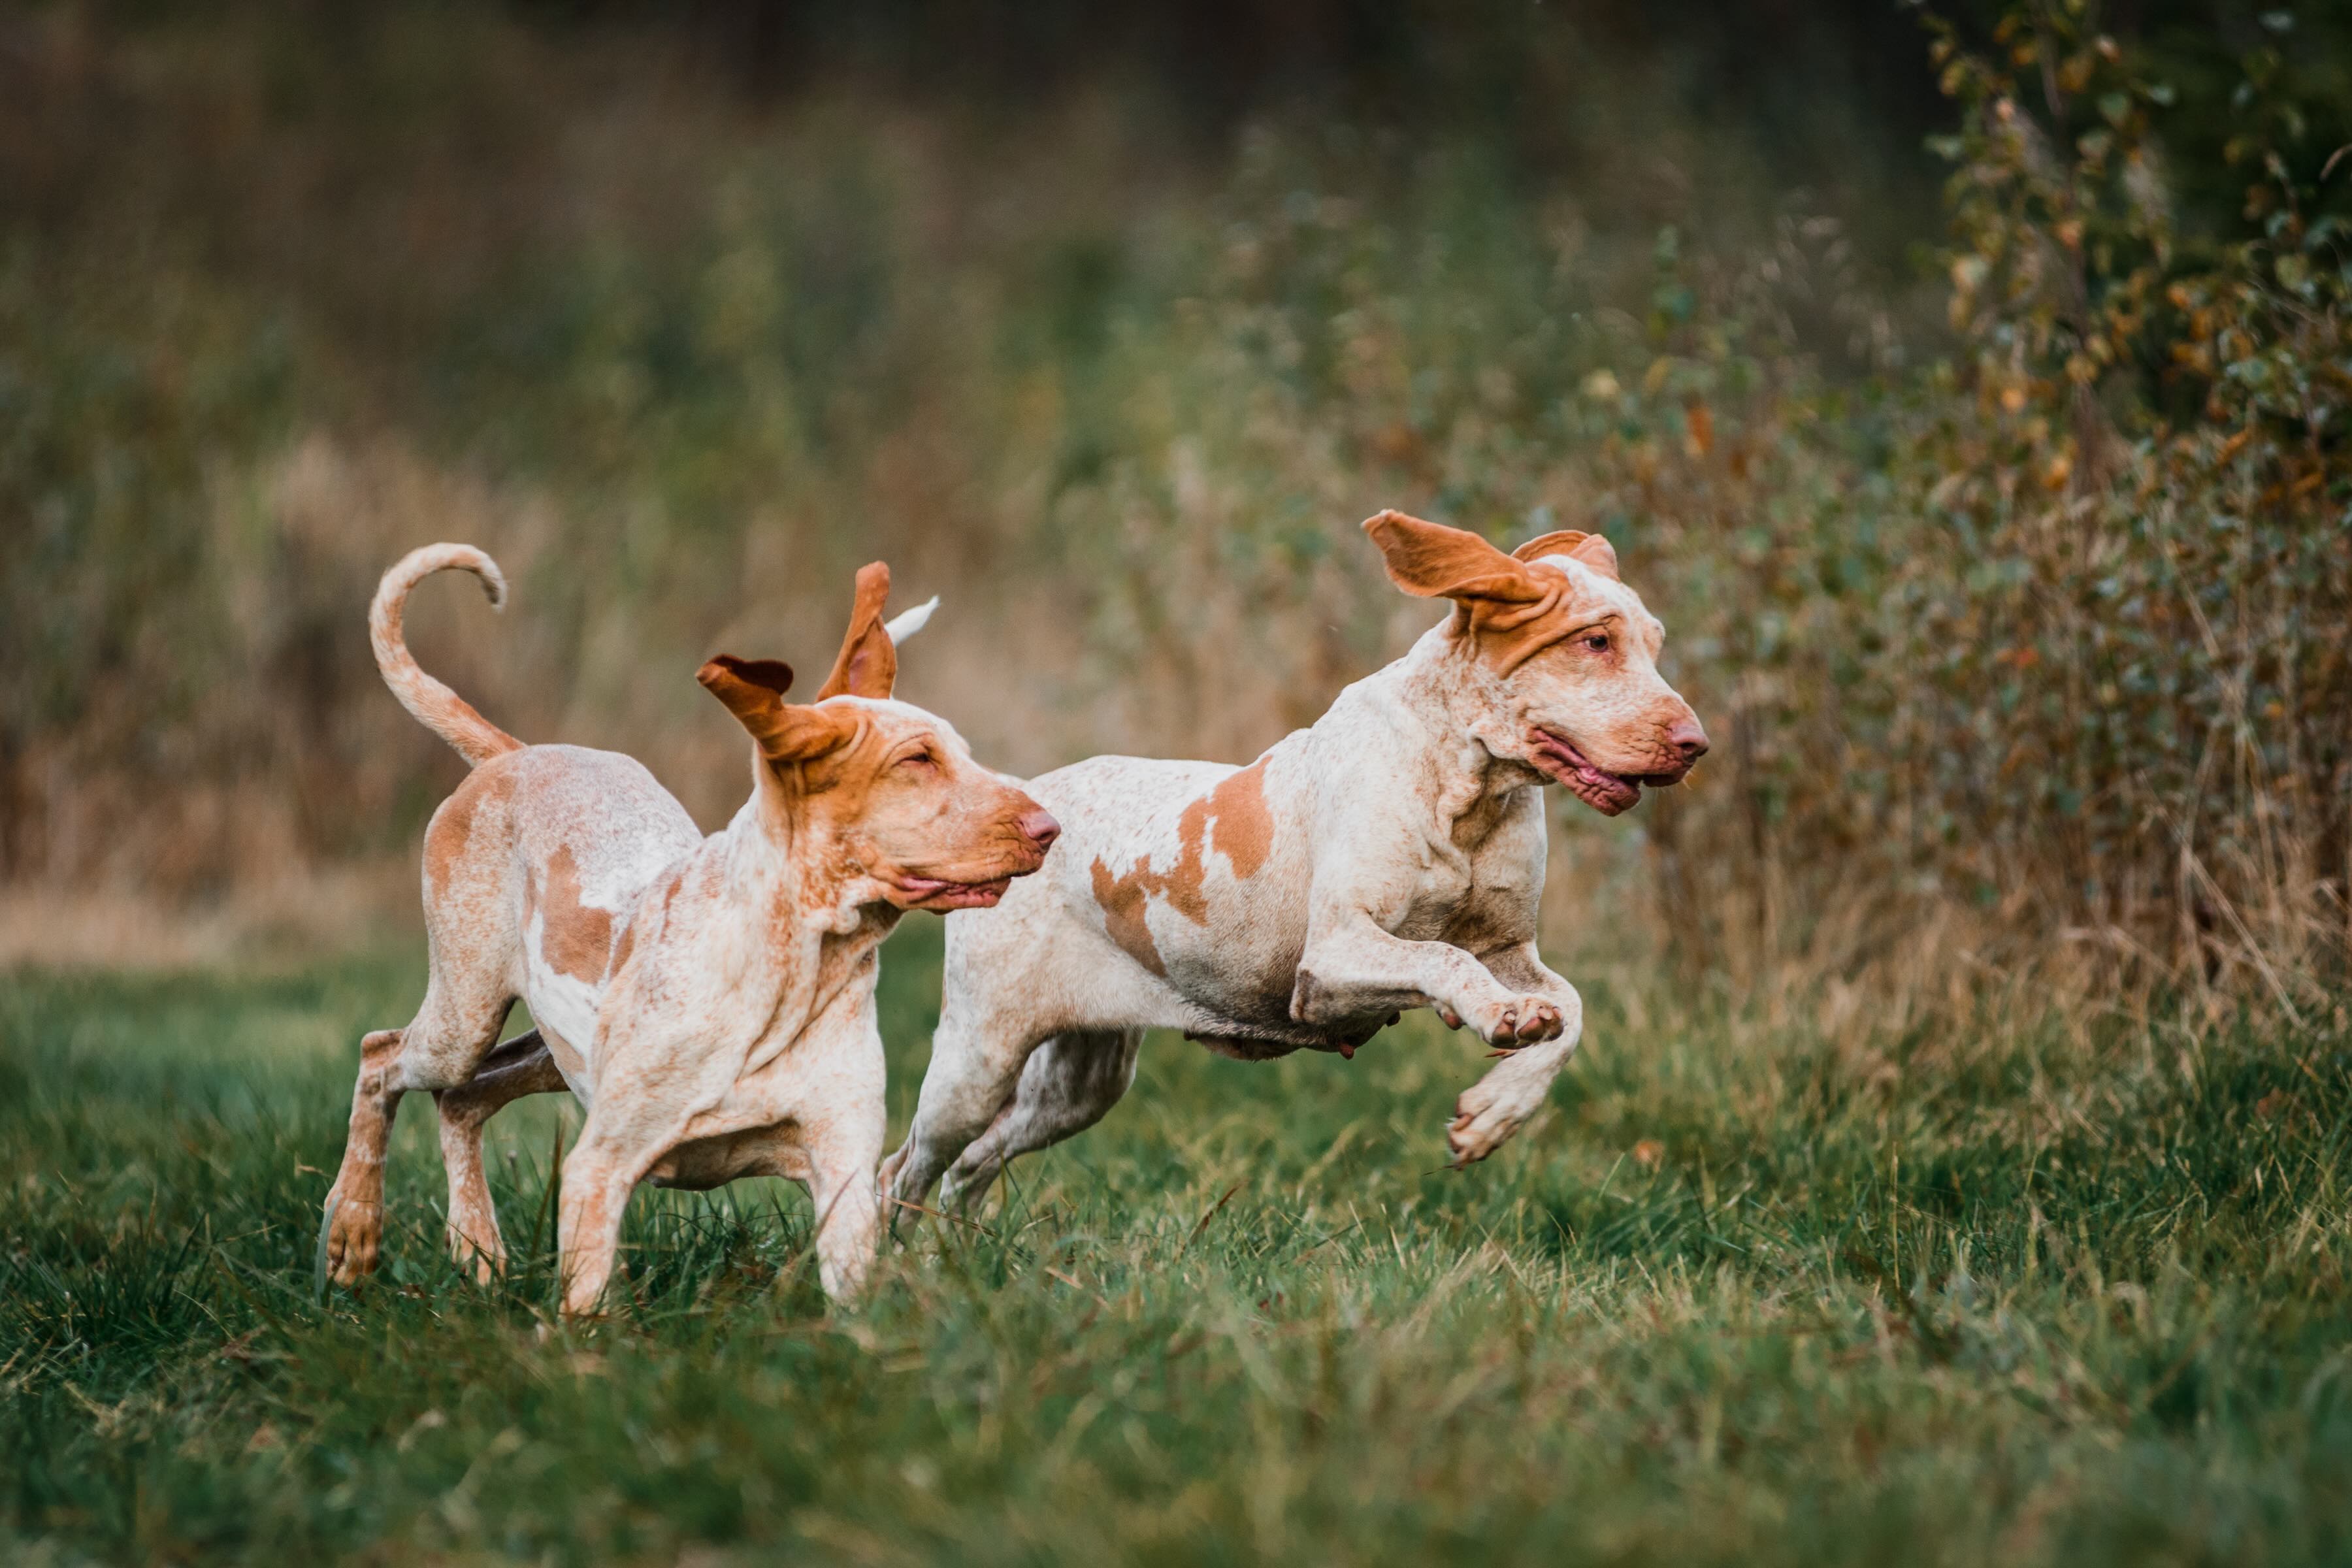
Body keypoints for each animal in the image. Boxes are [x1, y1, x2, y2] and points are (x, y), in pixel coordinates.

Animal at [322, 545, 1058, 1307]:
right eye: (917, 760)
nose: (1049, 828)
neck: (795, 970)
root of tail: (513, 754)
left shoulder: (846, 1179)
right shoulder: (598, 1171)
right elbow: (587, 1309)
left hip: (557, 1054)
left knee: (463, 1099)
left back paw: (476, 1248)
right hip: (464, 1018)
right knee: (383, 1057)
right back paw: (355, 1230)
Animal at [884, 510, 1712, 1213]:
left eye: (1655, 644)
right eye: (1595, 643)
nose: (1696, 744)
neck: (1470, 791)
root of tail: (1026, 808)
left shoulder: (1511, 949)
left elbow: (1570, 1008)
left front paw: (1495, 1113)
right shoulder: (1335, 957)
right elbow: (1441, 956)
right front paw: (1492, 1016)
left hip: (1079, 1085)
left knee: (967, 1173)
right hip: (978, 1062)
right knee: (902, 1171)